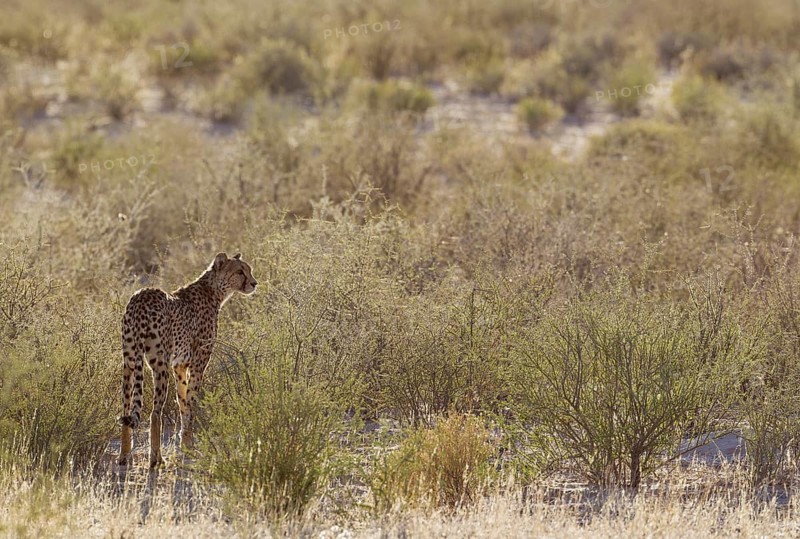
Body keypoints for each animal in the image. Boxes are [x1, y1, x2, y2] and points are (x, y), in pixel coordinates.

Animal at [117, 252, 257, 468]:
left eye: (248, 270)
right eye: (240, 271)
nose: (254, 283)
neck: (213, 290)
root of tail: (142, 295)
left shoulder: (180, 365)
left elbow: (182, 401)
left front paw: (185, 444)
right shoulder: (198, 364)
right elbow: (191, 403)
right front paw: (189, 446)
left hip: (129, 361)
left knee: (126, 409)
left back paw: (124, 456)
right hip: (160, 365)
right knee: (155, 413)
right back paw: (156, 459)